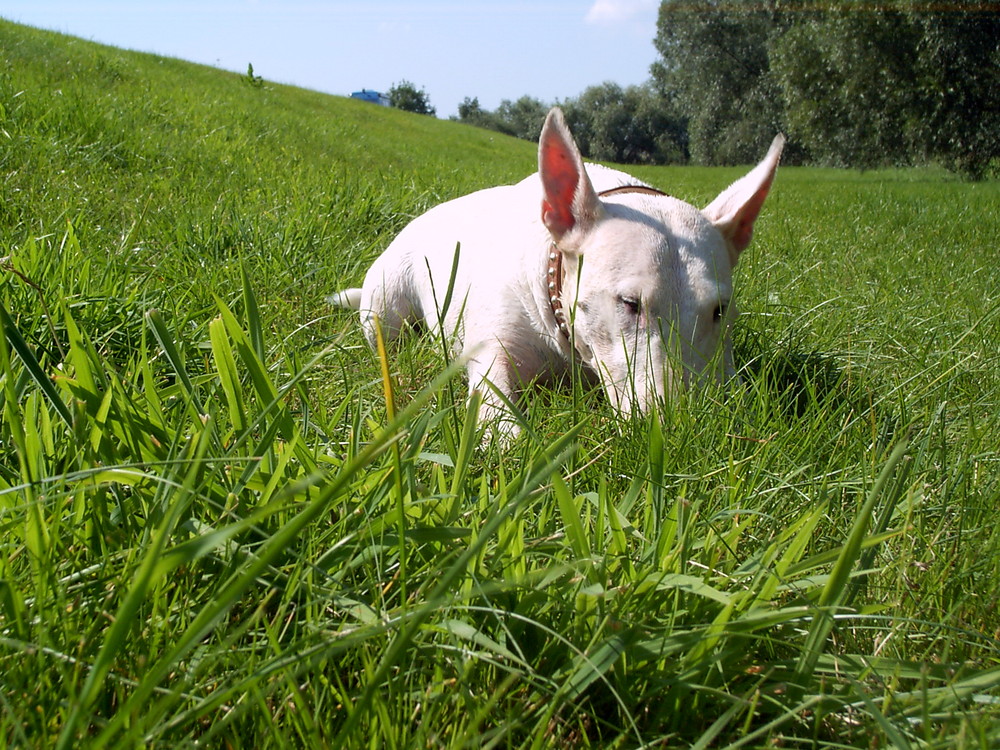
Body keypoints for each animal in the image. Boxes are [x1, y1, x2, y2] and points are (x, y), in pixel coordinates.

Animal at [334, 108, 780, 438]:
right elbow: (493, 392)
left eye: (720, 310)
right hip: (386, 297)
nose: (681, 430)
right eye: (629, 303)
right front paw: (507, 442)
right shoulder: (495, 340)